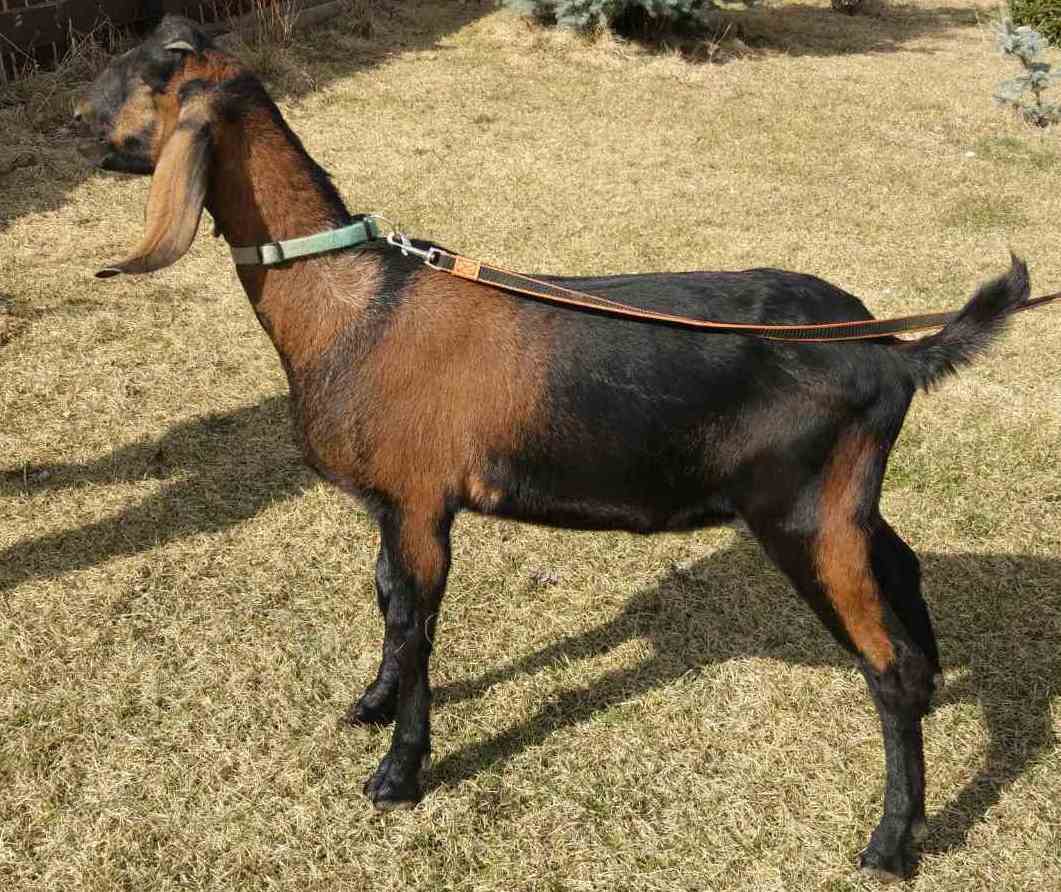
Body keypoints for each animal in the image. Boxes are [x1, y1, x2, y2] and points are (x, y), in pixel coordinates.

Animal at [74, 17, 1031, 880]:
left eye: (150, 72)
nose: (73, 120)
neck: (356, 304)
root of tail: (893, 353)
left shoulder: (420, 504)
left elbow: (415, 624)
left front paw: (399, 774)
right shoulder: (394, 503)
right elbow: (387, 603)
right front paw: (373, 704)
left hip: (803, 513)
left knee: (883, 665)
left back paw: (892, 840)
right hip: (845, 497)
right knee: (902, 566)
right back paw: (937, 692)